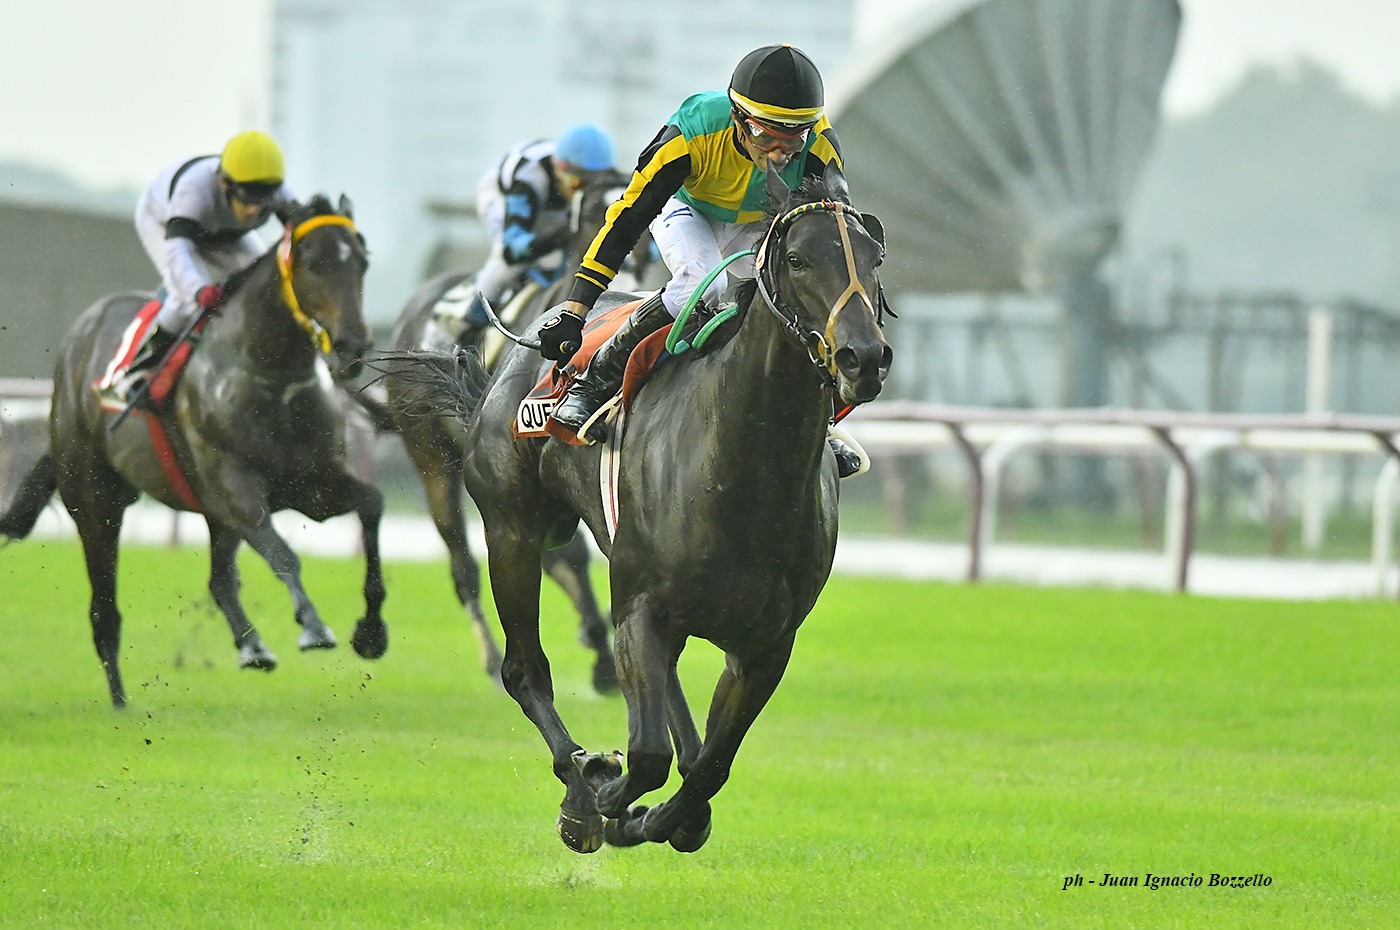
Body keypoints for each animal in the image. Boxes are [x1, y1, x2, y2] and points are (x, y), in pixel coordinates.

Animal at [0, 194, 386, 707]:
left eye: (361, 261)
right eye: (314, 262)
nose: (353, 345)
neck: (269, 374)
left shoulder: (311, 485)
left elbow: (372, 505)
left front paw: (372, 632)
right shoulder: (238, 490)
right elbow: (283, 553)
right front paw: (314, 626)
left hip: (206, 511)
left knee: (219, 580)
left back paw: (253, 649)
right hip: (95, 499)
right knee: (104, 608)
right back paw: (120, 703)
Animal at [372, 169, 654, 692]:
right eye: (594, 214)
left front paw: (600, 651)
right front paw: (601, 656)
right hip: (431, 459)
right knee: (462, 562)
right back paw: (487, 652)